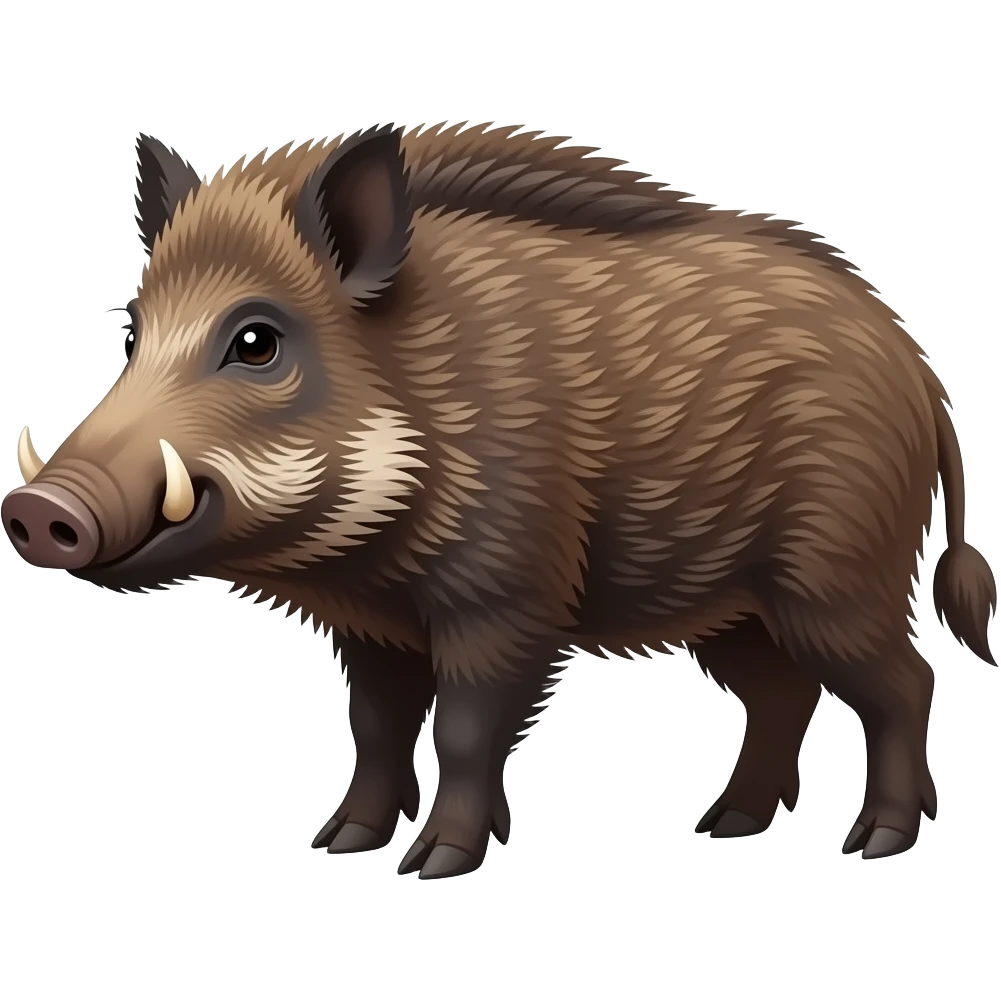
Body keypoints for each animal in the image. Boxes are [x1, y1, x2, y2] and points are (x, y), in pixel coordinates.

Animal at [2, 124, 997, 877]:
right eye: (133, 332)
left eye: (256, 340)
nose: (39, 511)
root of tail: (923, 377)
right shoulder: (374, 625)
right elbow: (376, 726)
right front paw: (340, 844)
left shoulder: (507, 595)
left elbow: (466, 727)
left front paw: (437, 863)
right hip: (732, 606)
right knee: (784, 692)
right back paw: (722, 827)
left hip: (836, 573)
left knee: (903, 681)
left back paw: (874, 842)